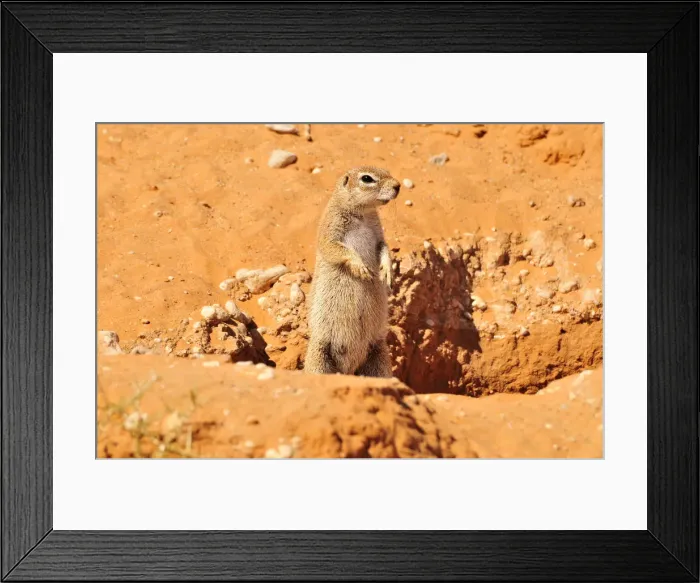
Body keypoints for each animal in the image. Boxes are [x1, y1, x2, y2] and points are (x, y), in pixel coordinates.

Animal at [304, 166, 400, 377]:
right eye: (367, 178)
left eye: (387, 171)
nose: (398, 185)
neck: (362, 215)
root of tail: (348, 369)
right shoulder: (330, 229)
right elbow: (336, 249)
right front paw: (361, 268)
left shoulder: (378, 234)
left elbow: (384, 247)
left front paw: (387, 271)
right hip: (318, 356)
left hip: (379, 356)